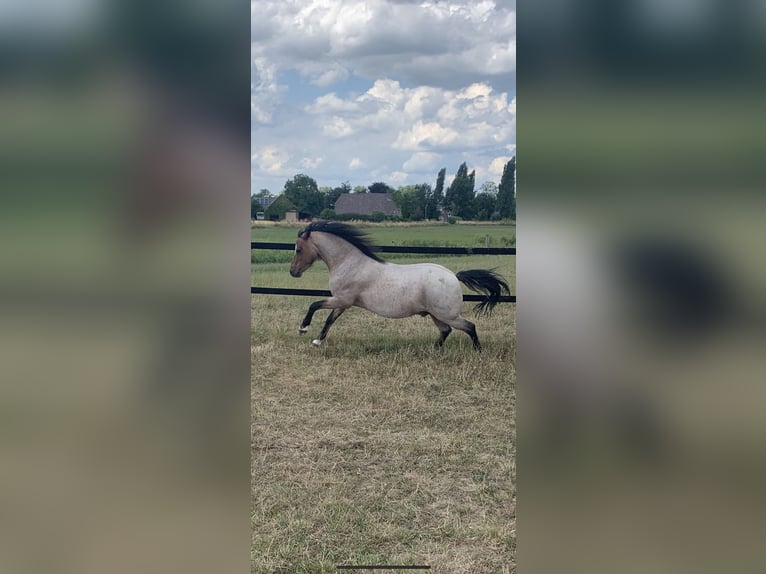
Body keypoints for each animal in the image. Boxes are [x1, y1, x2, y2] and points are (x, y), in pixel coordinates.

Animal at [288, 222, 510, 352]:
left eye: (298, 249)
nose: (293, 272)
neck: (350, 263)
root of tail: (453, 276)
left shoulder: (342, 299)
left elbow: (314, 305)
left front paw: (303, 329)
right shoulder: (342, 303)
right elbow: (329, 320)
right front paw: (317, 341)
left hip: (447, 314)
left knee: (469, 327)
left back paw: (477, 351)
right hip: (436, 314)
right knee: (446, 330)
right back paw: (432, 350)